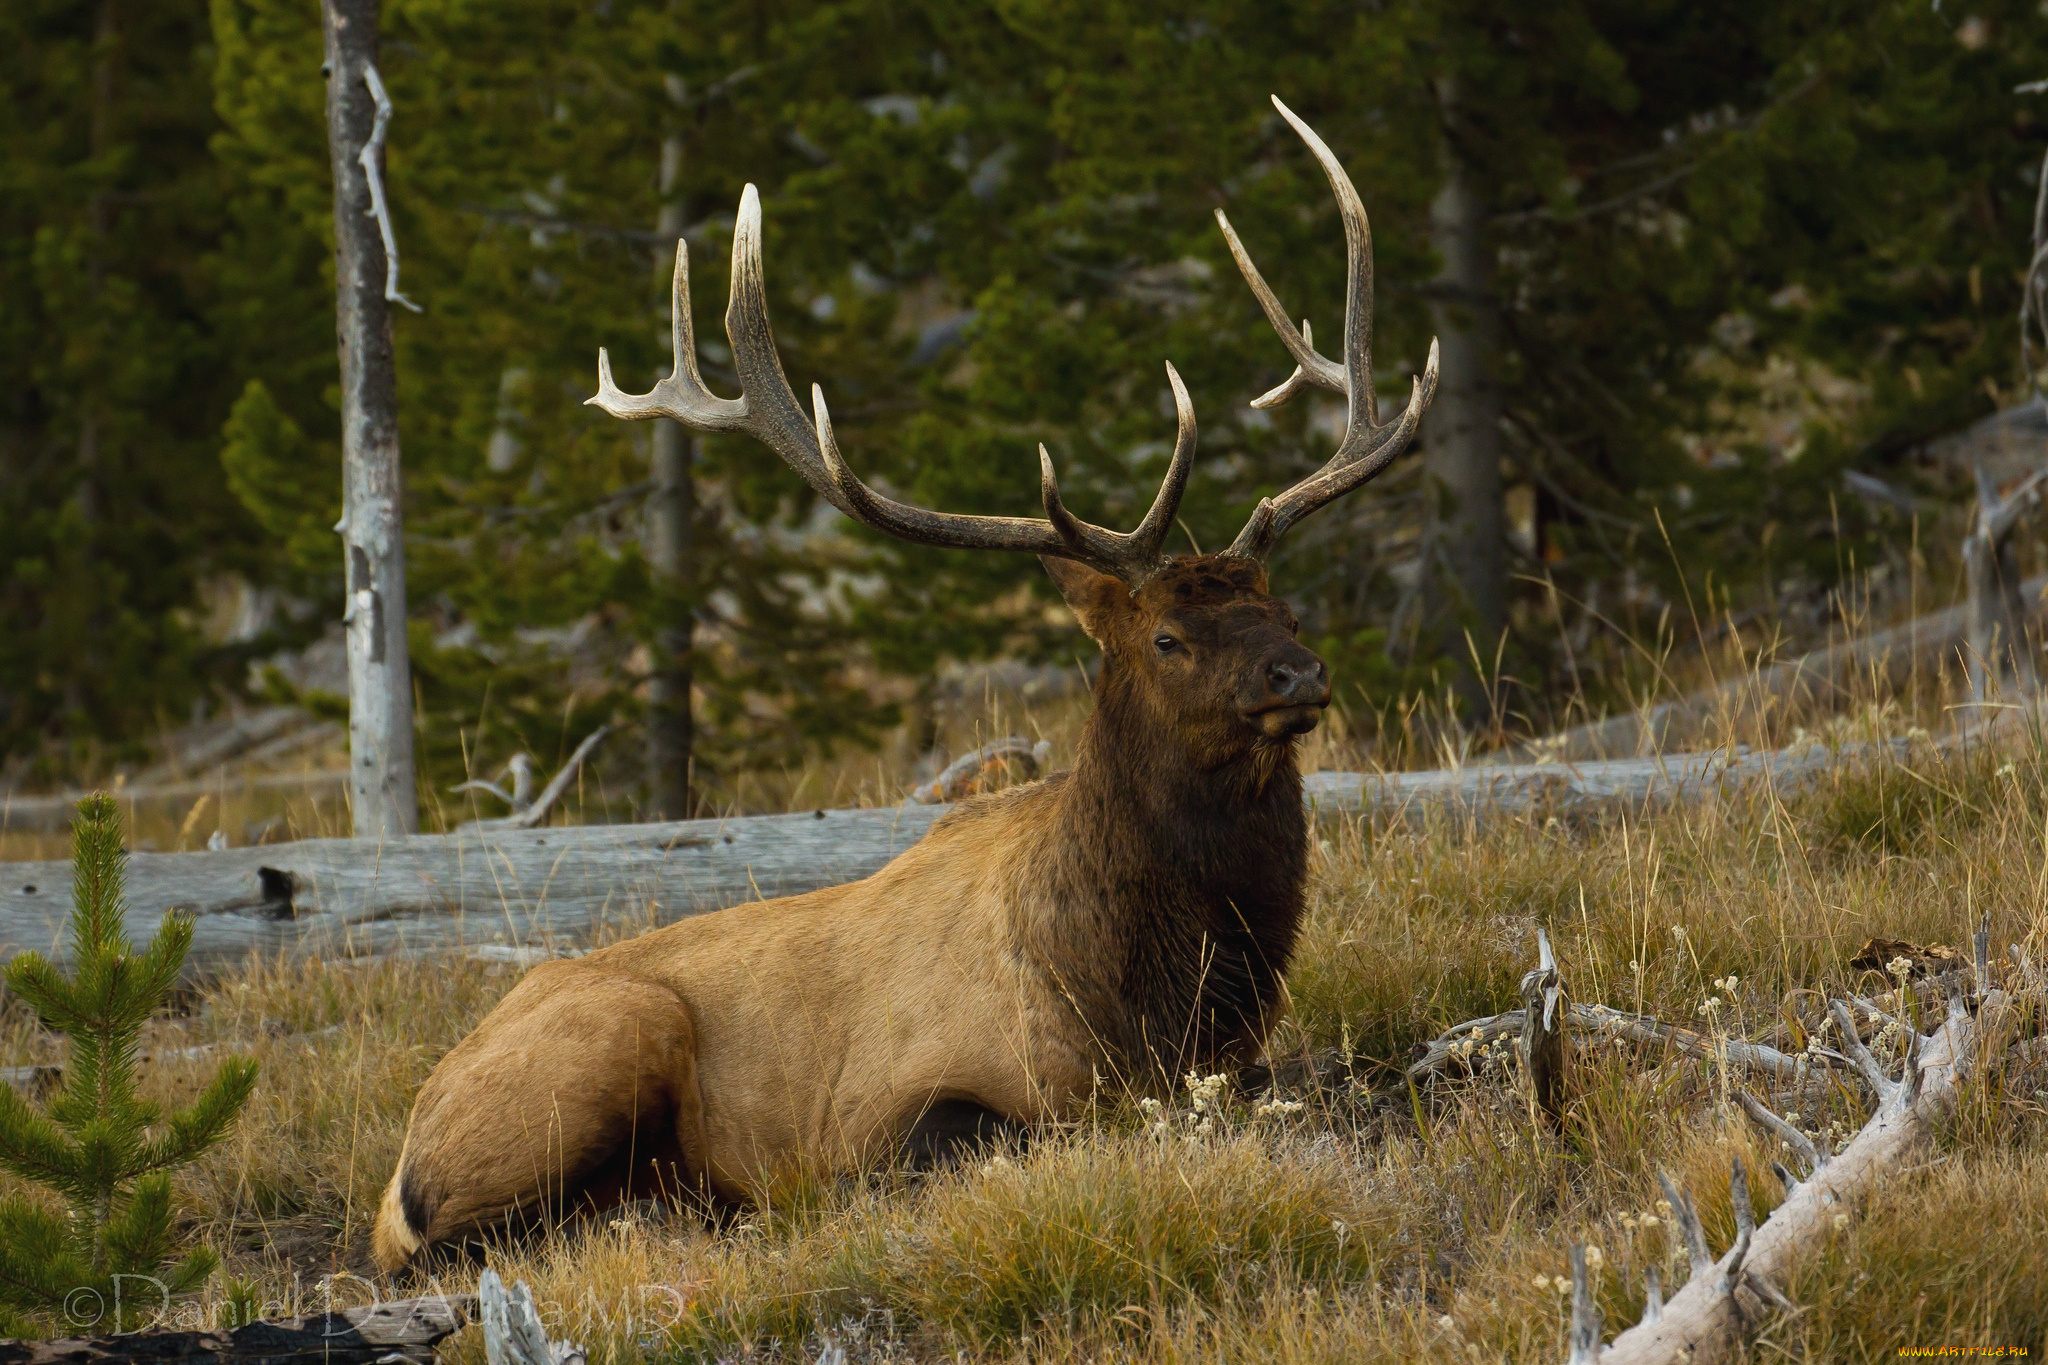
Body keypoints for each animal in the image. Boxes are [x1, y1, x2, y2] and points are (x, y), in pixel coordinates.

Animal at [376, 98, 1449, 1268]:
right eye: (1167, 636)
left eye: (1285, 611)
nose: (1300, 671)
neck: (1140, 995)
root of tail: (397, 1165)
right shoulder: (888, 1108)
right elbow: (981, 1140)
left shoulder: (1230, 1059)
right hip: (604, 1045)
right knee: (476, 1238)